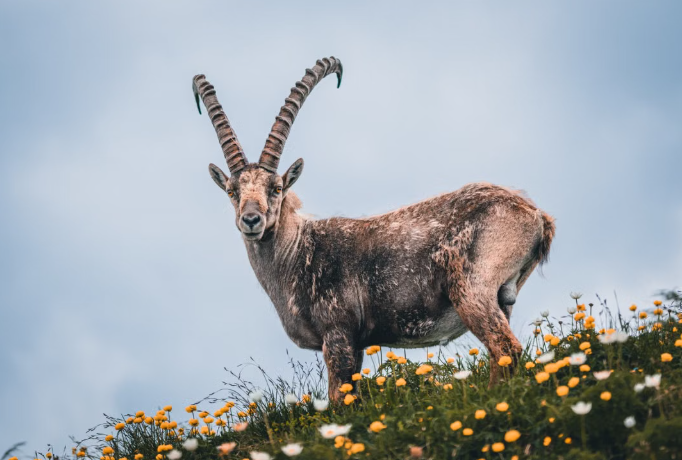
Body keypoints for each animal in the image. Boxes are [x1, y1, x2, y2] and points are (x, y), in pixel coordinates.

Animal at [192, 57, 555, 401]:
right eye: (232, 191)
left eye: (276, 188)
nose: (251, 220)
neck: (296, 254)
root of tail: (535, 215)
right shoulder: (356, 345)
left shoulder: (338, 333)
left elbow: (340, 399)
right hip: (503, 299)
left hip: (471, 288)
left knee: (504, 348)